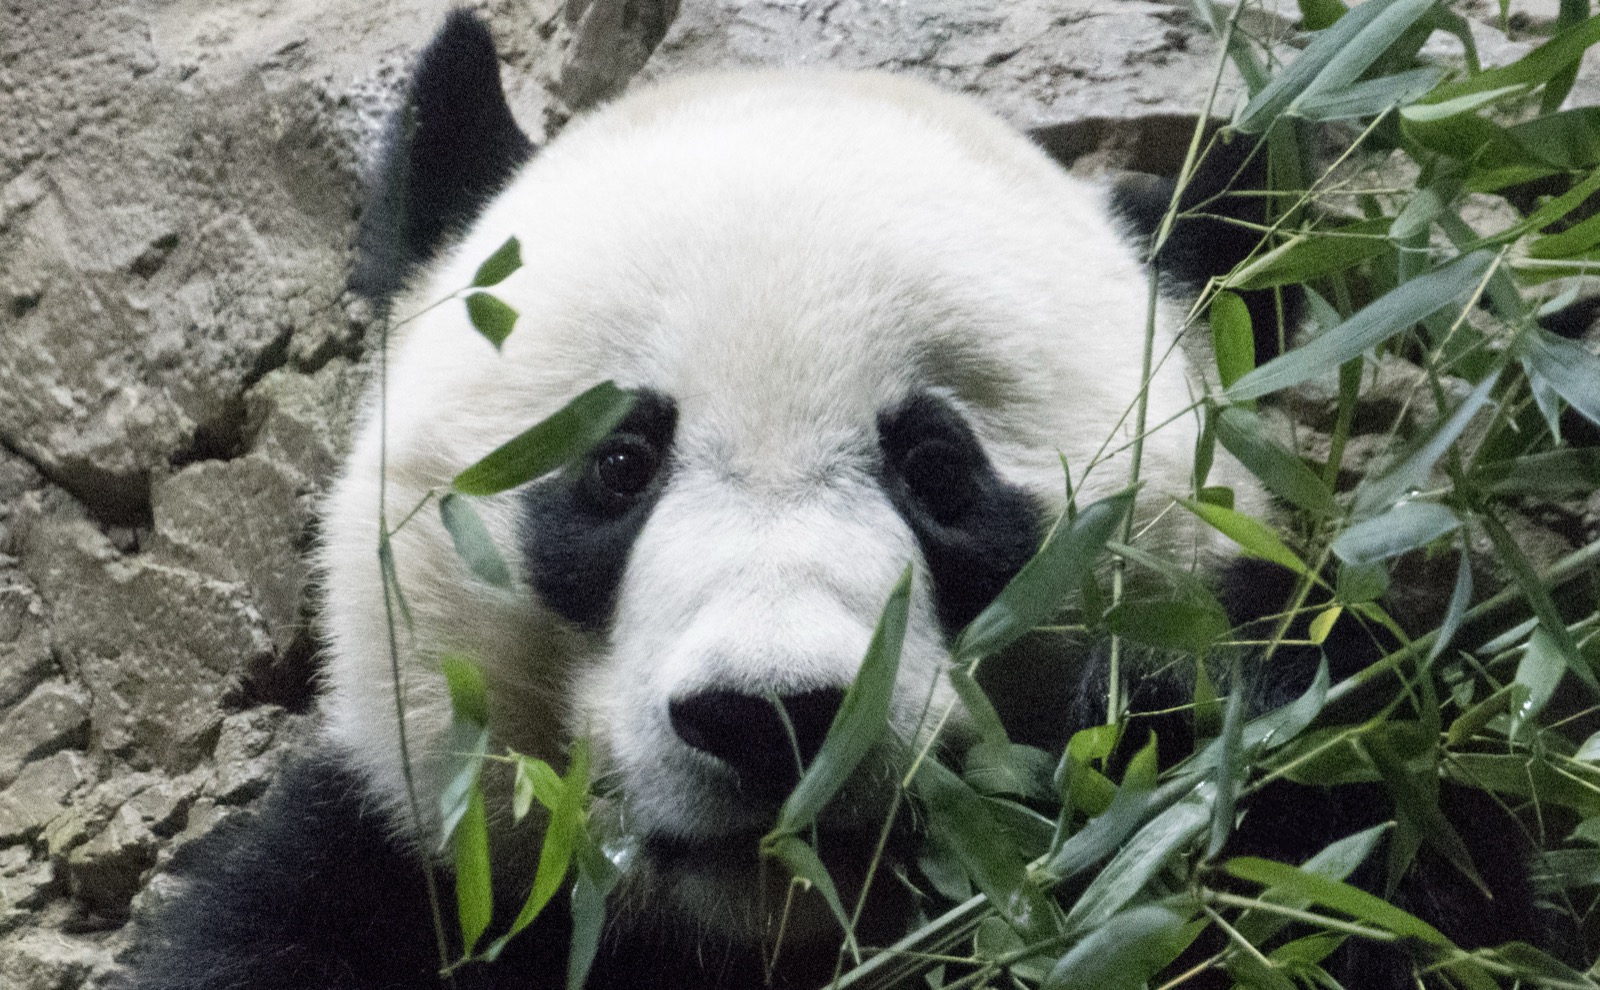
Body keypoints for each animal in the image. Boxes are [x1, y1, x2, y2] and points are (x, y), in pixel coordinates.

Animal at [127, 11, 1561, 990]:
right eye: (619, 465)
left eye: (936, 472)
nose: (770, 716)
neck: (769, 941)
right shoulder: (397, 883)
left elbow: (1360, 820)